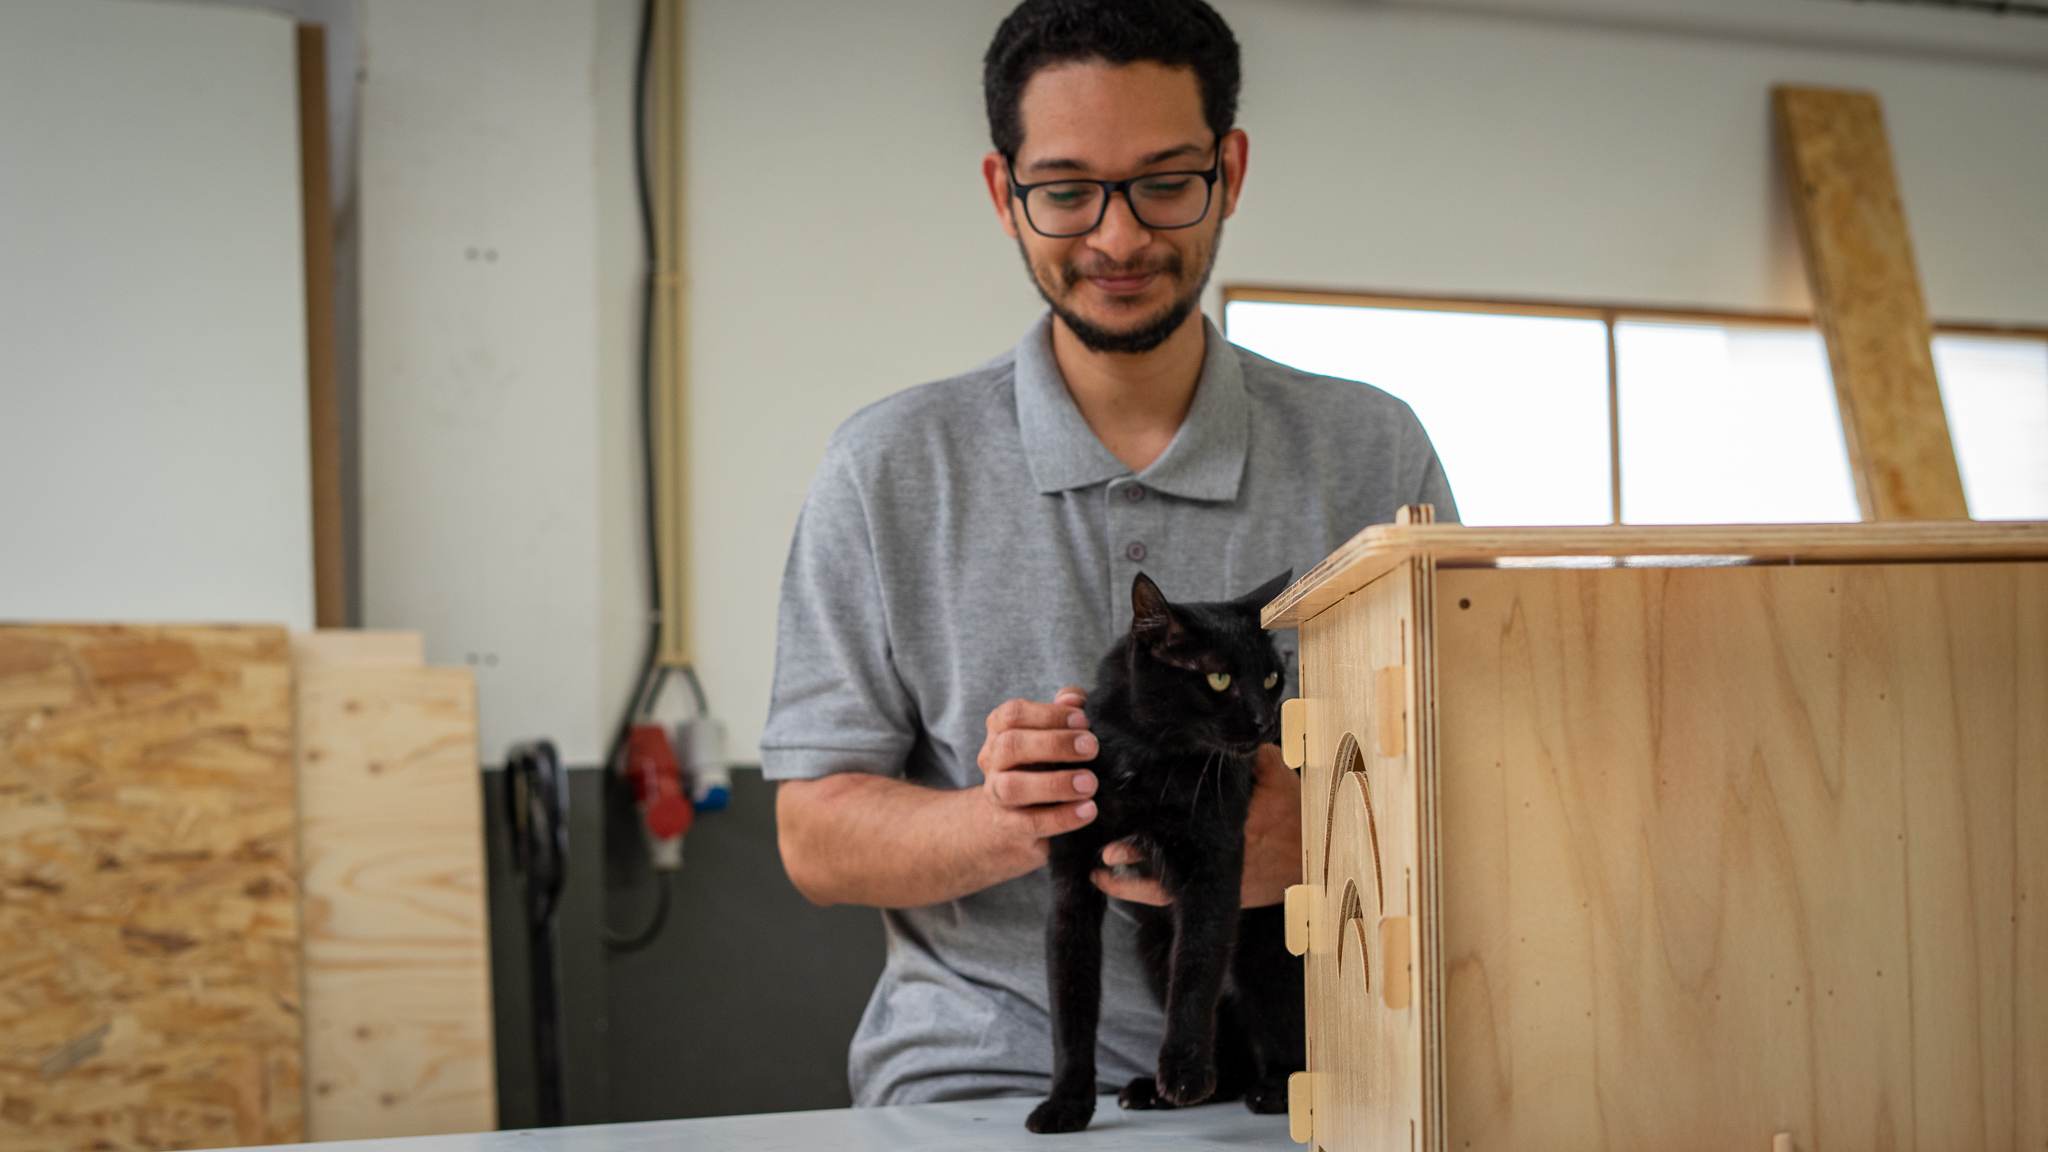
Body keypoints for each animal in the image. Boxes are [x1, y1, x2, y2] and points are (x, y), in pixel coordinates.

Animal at [1024, 565, 1310, 1131]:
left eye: (1272, 678)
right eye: (1219, 679)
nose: (1267, 721)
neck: (1148, 762)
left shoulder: (1214, 869)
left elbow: (1196, 973)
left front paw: (1183, 1074)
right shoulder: (1070, 885)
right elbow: (1070, 1001)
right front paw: (1066, 1103)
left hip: (1267, 946)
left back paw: (1275, 1090)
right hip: (1154, 948)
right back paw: (1157, 1092)